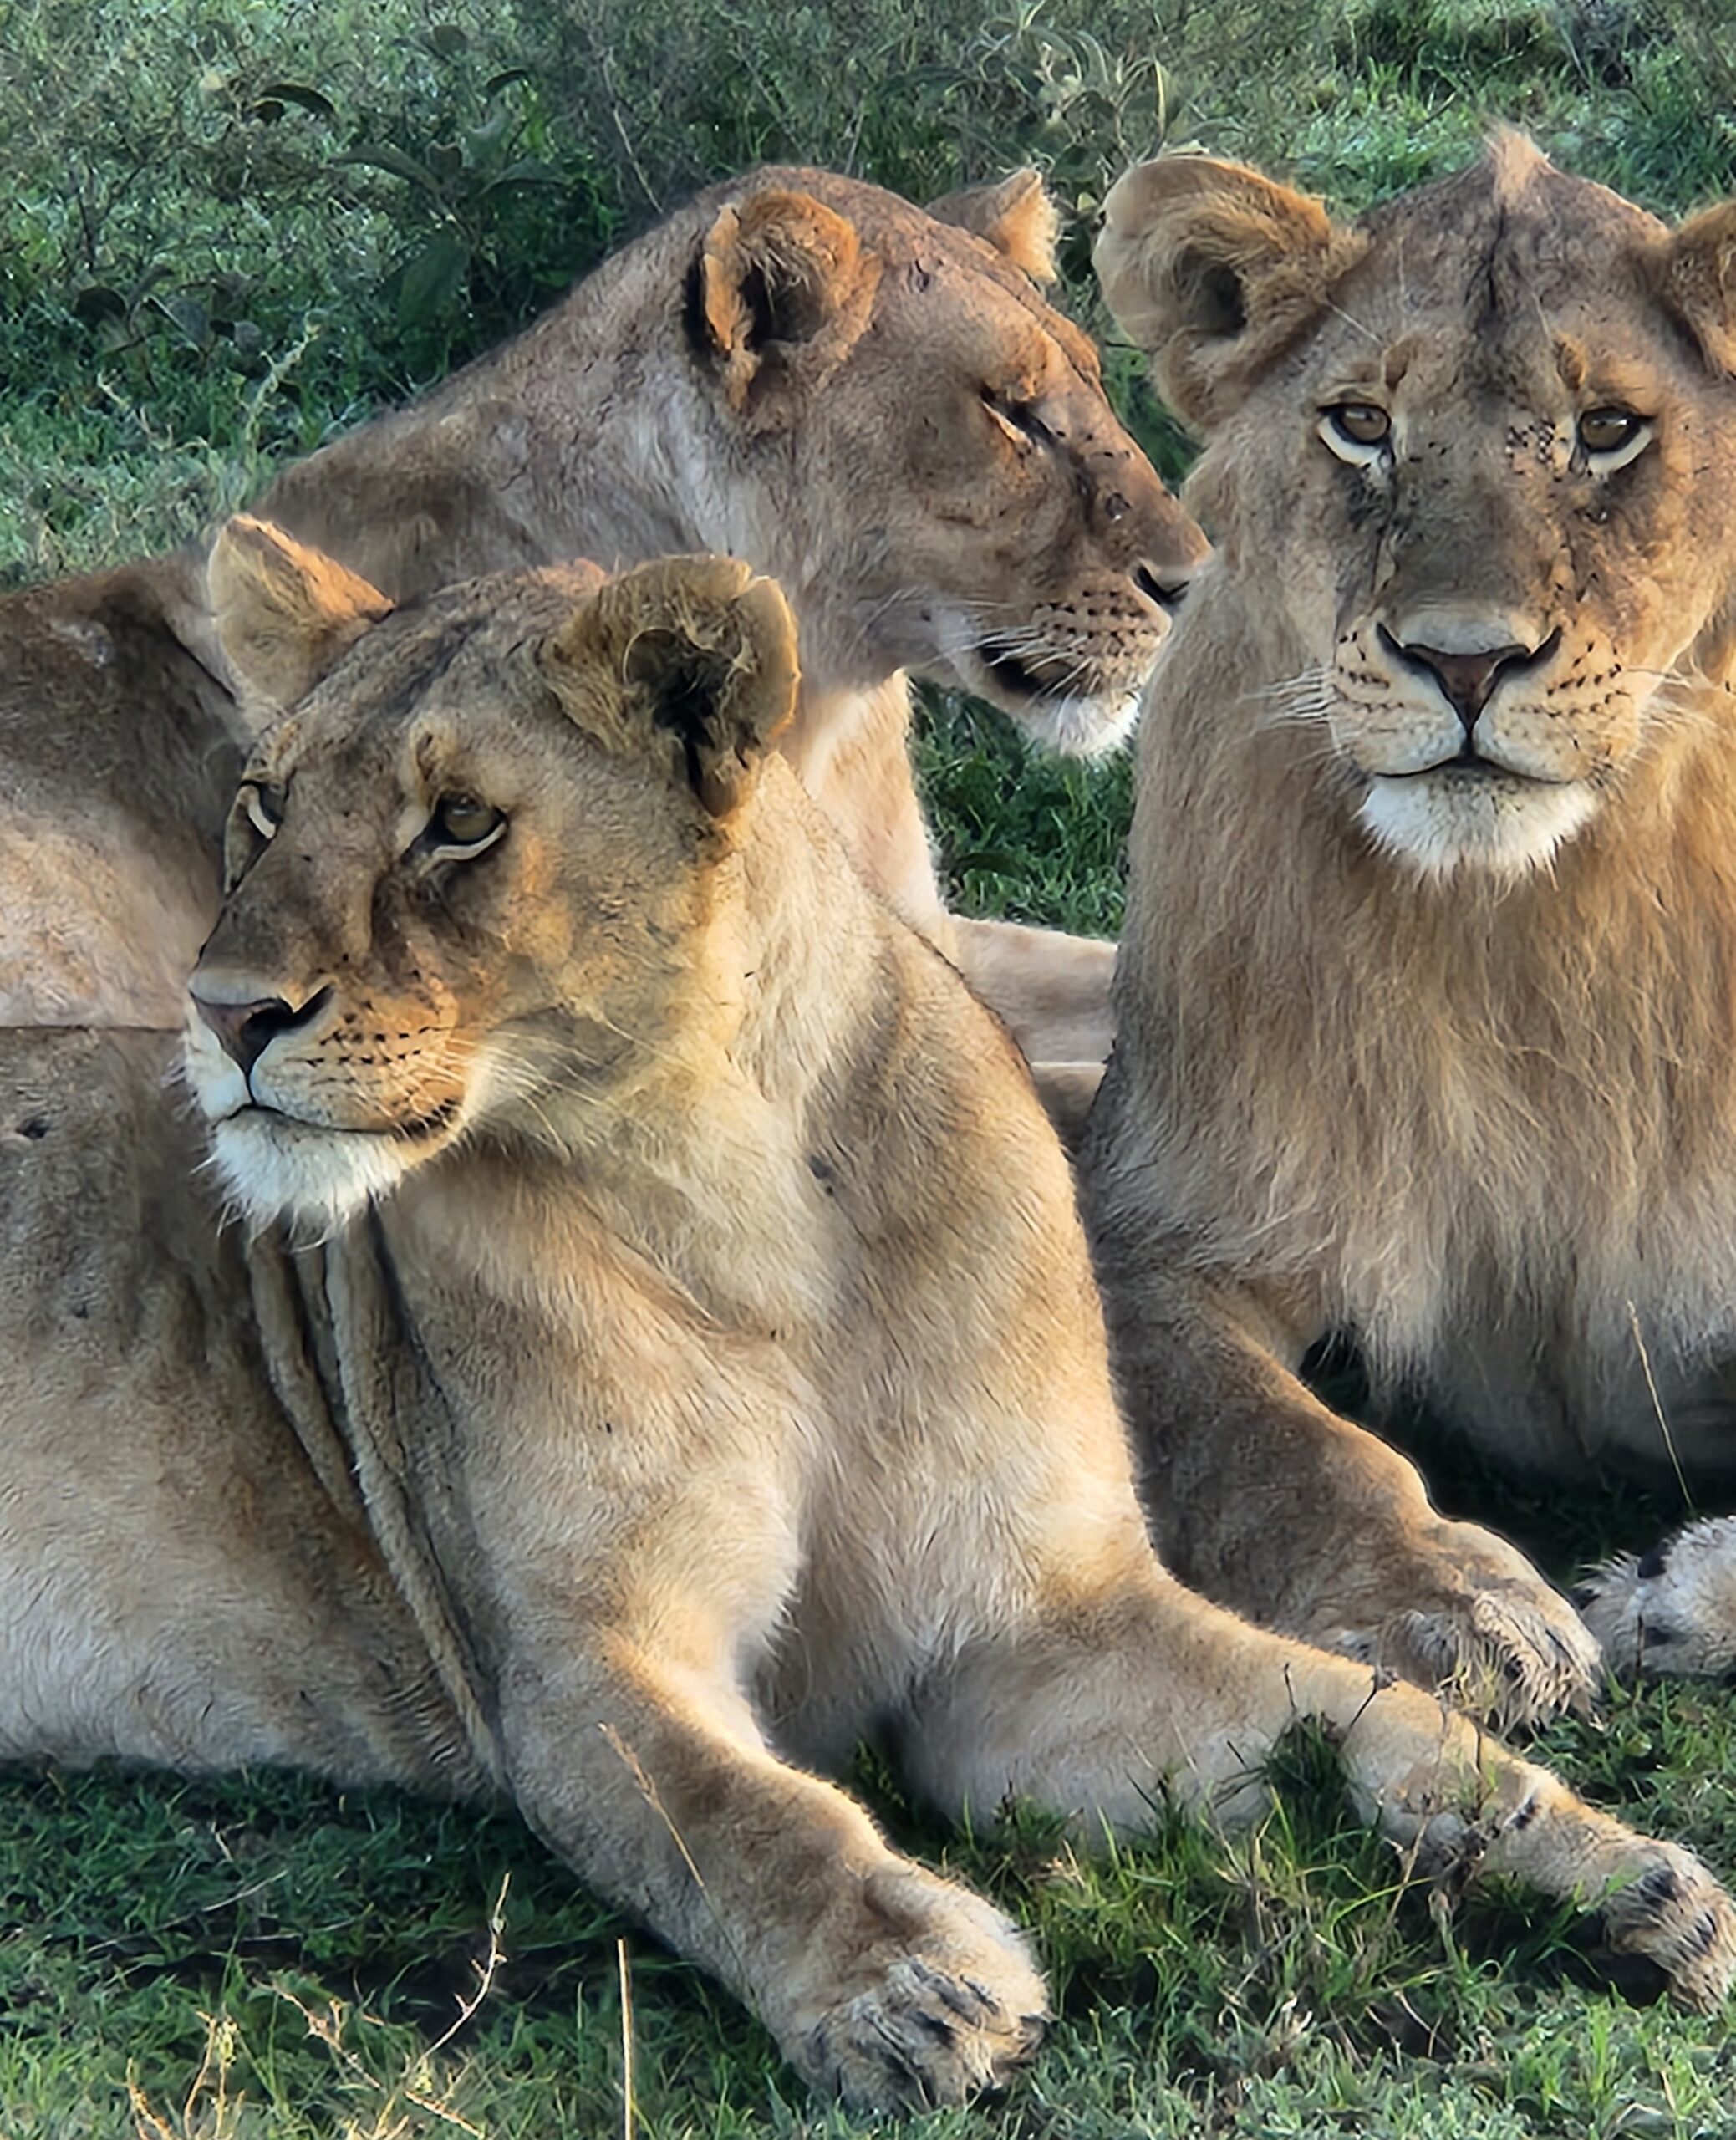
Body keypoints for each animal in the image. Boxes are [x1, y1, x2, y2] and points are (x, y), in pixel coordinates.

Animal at [0, 519, 1728, 2105]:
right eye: (263, 806)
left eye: (462, 825)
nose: (222, 1015)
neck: (742, 1209)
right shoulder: (580, 1665)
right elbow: (742, 1819)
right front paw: (911, 1987)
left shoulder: (1023, 1630)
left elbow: (1360, 1715)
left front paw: (1607, 1875)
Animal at [2, 167, 1203, 1120]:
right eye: (1009, 410)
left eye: (1094, 382)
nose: (1196, 580)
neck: (832, 712)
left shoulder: (924, 934)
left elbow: (1130, 982)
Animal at [1082, 135, 1736, 1722]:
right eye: (1361, 425)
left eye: (1608, 429)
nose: (1464, 660)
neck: (1520, 934)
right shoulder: (1148, 1222)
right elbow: (1278, 1448)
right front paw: (1449, 1602)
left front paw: (1675, 1591)